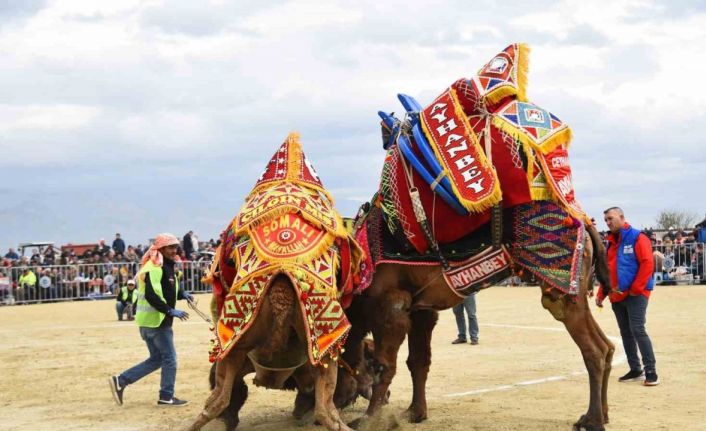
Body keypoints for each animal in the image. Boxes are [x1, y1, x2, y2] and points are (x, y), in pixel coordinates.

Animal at [336, 43, 612, 431]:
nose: (331, 401)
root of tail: (586, 223)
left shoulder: (391, 307)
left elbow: (384, 367)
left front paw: (371, 418)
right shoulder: (422, 311)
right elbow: (417, 362)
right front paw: (415, 412)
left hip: (561, 286)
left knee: (594, 351)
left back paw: (594, 419)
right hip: (576, 291)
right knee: (608, 347)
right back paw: (596, 413)